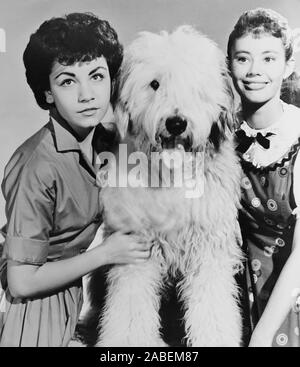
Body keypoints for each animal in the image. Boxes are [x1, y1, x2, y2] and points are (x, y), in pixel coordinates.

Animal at [90, 25, 243, 348]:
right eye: (155, 84)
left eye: (195, 85)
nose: (176, 123)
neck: (172, 177)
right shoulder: (135, 247)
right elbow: (131, 304)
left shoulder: (208, 247)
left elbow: (213, 304)